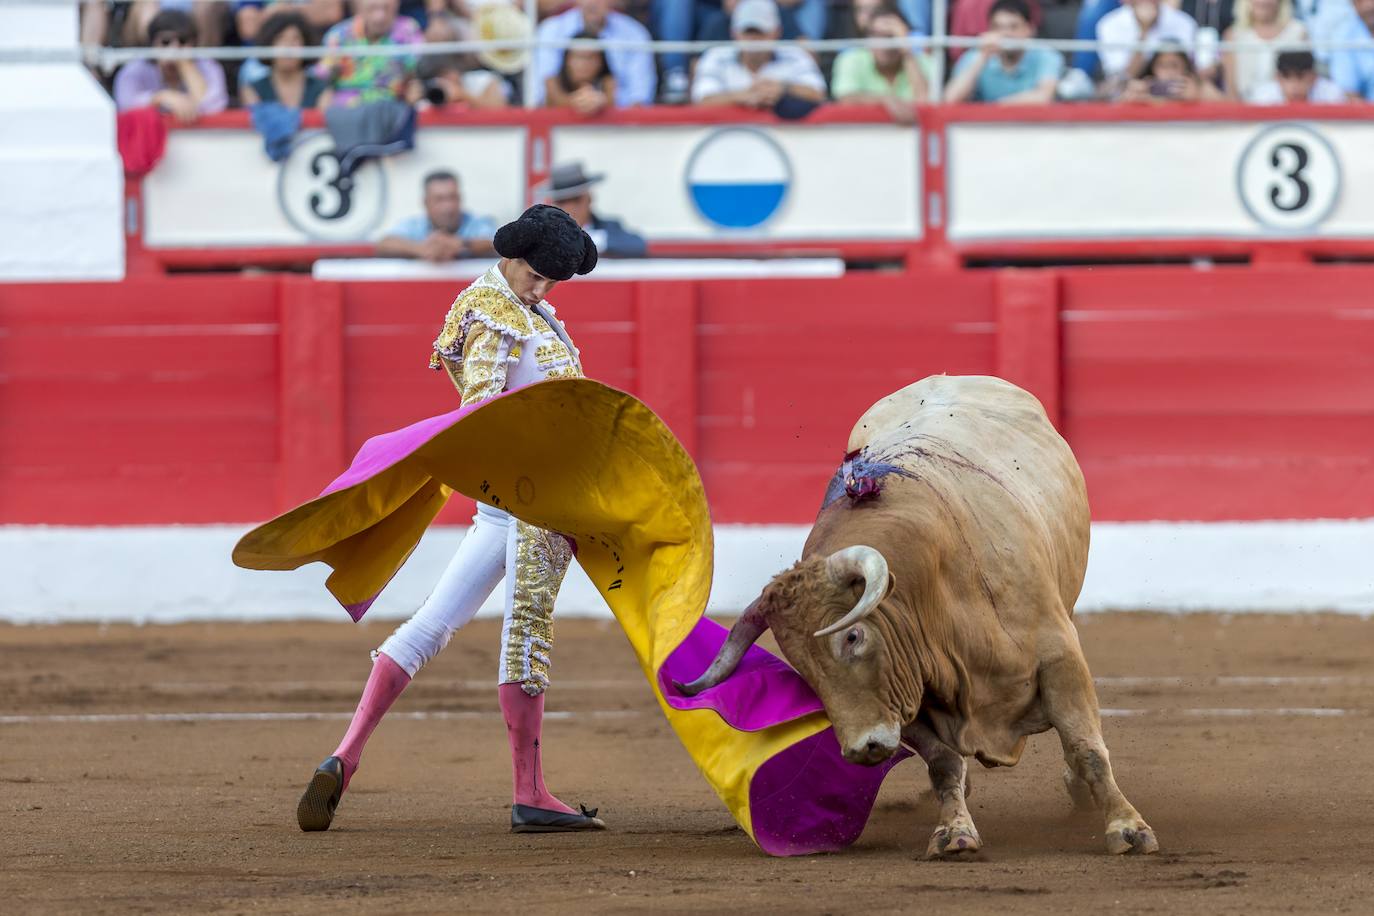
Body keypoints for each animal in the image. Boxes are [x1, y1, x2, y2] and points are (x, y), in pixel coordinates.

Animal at [676, 373, 1159, 862]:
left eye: (852, 637)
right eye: (803, 667)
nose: (864, 748)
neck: (934, 591)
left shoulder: (1060, 656)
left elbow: (1085, 747)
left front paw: (1128, 829)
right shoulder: (904, 691)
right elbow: (943, 763)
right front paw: (954, 832)